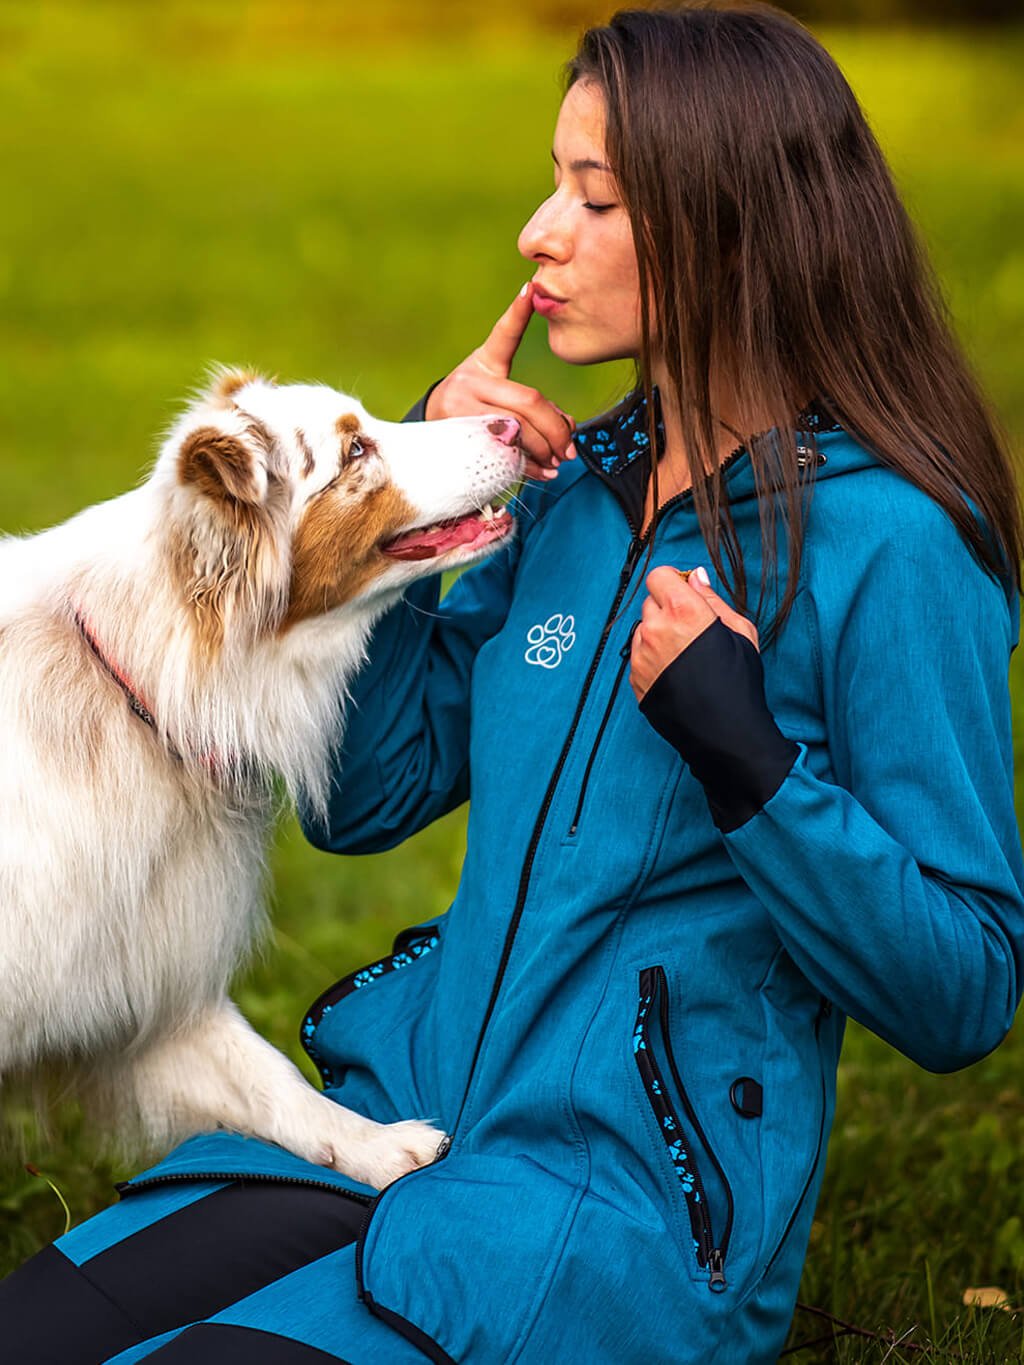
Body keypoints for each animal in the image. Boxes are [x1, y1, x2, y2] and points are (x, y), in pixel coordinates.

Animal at [0, 368, 521, 1190]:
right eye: (354, 450)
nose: (512, 424)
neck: (140, 681)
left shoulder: (150, 976)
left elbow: (268, 1076)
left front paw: (379, 1147)